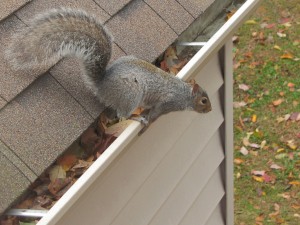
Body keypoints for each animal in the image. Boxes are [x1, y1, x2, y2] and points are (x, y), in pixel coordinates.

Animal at [5, 7, 212, 134]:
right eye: (203, 100)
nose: (210, 110)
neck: (184, 93)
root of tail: (102, 85)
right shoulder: (167, 104)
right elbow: (155, 114)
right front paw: (148, 120)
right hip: (131, 94)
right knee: (122, 116)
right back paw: (136, 119)